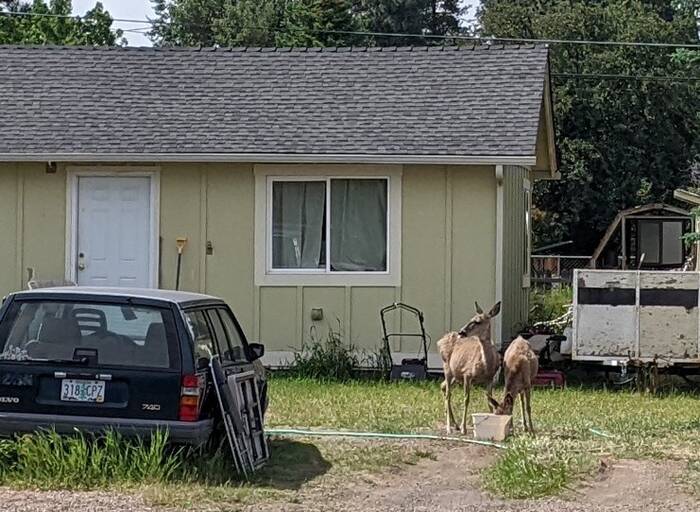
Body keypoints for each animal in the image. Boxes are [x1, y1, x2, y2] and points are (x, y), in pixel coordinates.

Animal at [437, 301, 502, 435]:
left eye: (478, 321)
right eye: (470, 319)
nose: (461, 332)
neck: (485, 365)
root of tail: (441, 340)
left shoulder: (490, 378)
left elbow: (489, 400)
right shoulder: (467, 375)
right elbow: (466, 399)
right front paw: (464, 428)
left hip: (455, 375)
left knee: (443, 386)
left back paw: (455, 425)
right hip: (447, 368)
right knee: (448, 394)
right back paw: (449, 428)